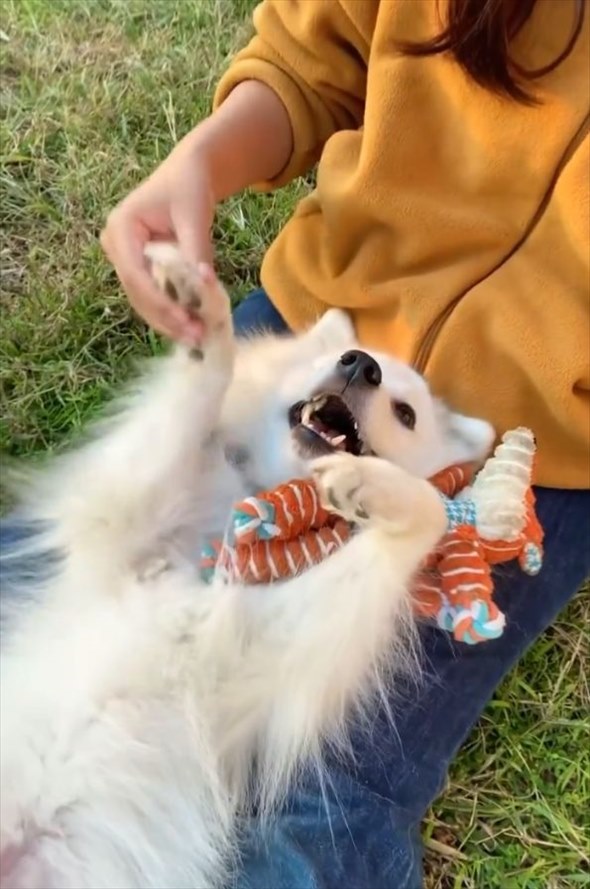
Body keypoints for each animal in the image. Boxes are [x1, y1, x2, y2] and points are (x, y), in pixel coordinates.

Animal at [0, 246, 494, 888]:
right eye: (341, 359)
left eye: (406, 413)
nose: (360, 364)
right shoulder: (127, 517)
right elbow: (201, 392)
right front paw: (202, 317)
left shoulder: (270, 640)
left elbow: (429, 510)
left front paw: (374, 487)